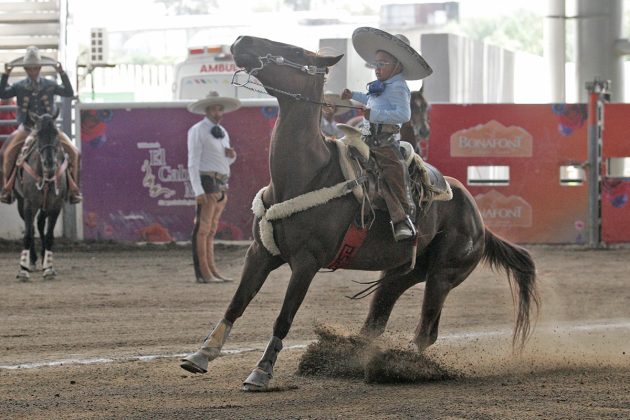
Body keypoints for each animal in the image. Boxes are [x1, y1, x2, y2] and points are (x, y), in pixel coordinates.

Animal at [180, 35, 540, 390]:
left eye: (293, 51)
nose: (242, 40)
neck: (306, 173)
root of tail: (480, 222)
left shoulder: (307, 263)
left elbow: (283, 317)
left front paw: (262, 371)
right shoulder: (260, 252)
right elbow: (236, 303)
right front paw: (201, 355)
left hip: (443, 274)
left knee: (426, 331)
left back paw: (396, 366)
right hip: (400, 273)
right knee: (375, 324)